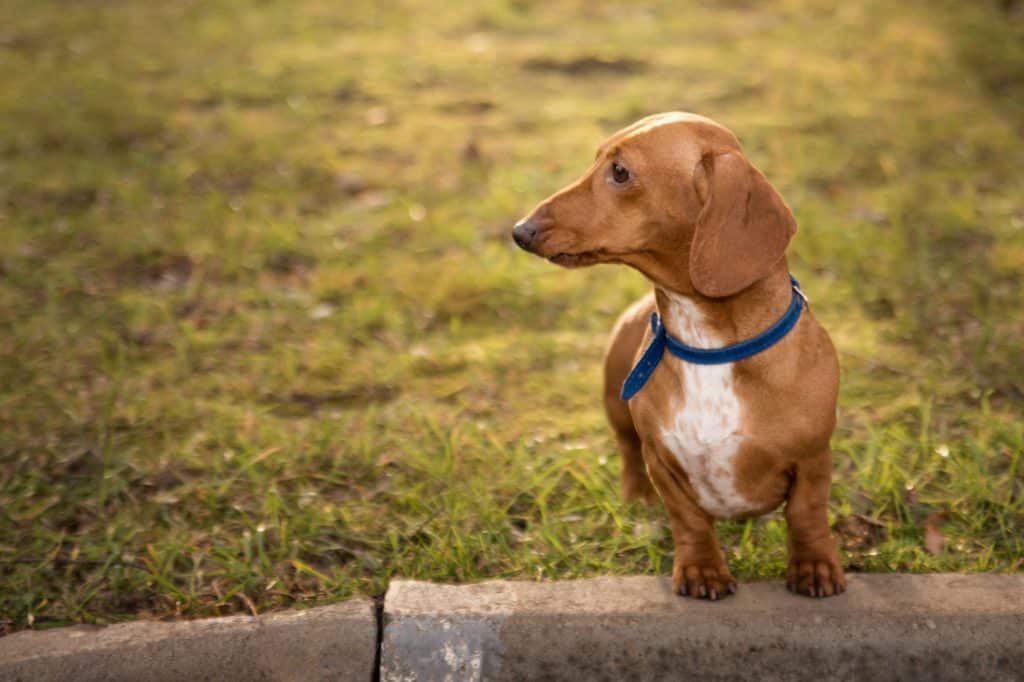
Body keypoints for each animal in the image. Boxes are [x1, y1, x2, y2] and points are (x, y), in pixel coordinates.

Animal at [516, 112, 843, 602]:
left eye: (620, 172)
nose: (520, 231)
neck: (712, 349)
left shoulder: (812, 457)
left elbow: (806, 513)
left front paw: (814, 566)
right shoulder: (662, 461)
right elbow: (688, 520)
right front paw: (702, 569)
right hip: (616, 408)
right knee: (626, 450)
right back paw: (635, 500)